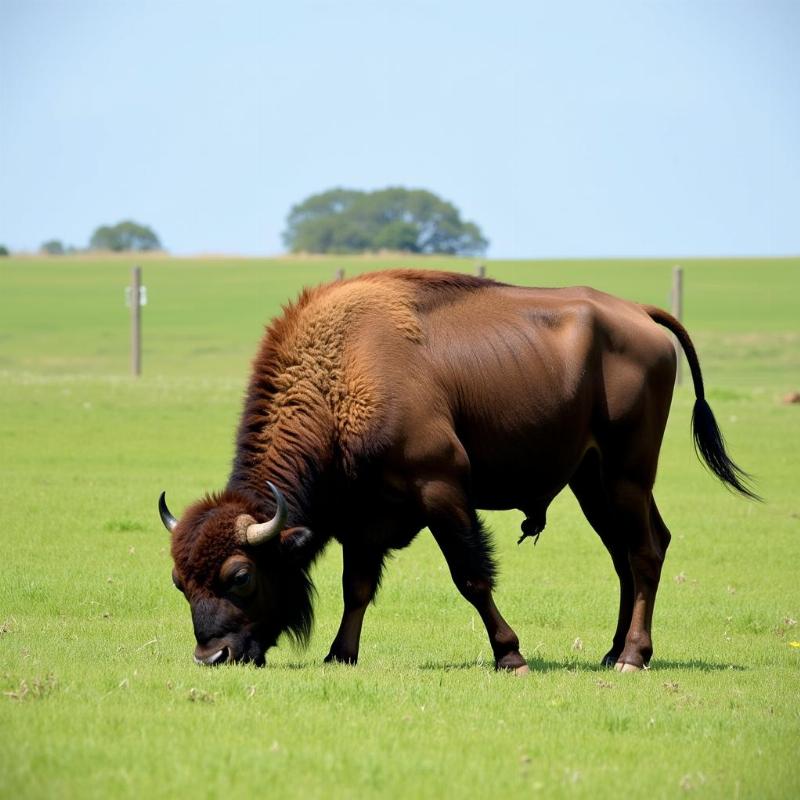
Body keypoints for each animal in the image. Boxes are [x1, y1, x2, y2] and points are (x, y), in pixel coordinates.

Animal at [158, 272, 756, 672]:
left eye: (241, 576)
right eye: (178, 582)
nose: (212, 657)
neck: (342, 374)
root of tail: (640, 313)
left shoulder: (442, 490)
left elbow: (470, 575)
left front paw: (511, 656)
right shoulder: (362, 520)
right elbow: (358, 587)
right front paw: (339, 655)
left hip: (627, 473)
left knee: (644, 553)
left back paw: (633, 656)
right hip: (592, 481)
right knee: (628, 555)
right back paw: (612, 653)